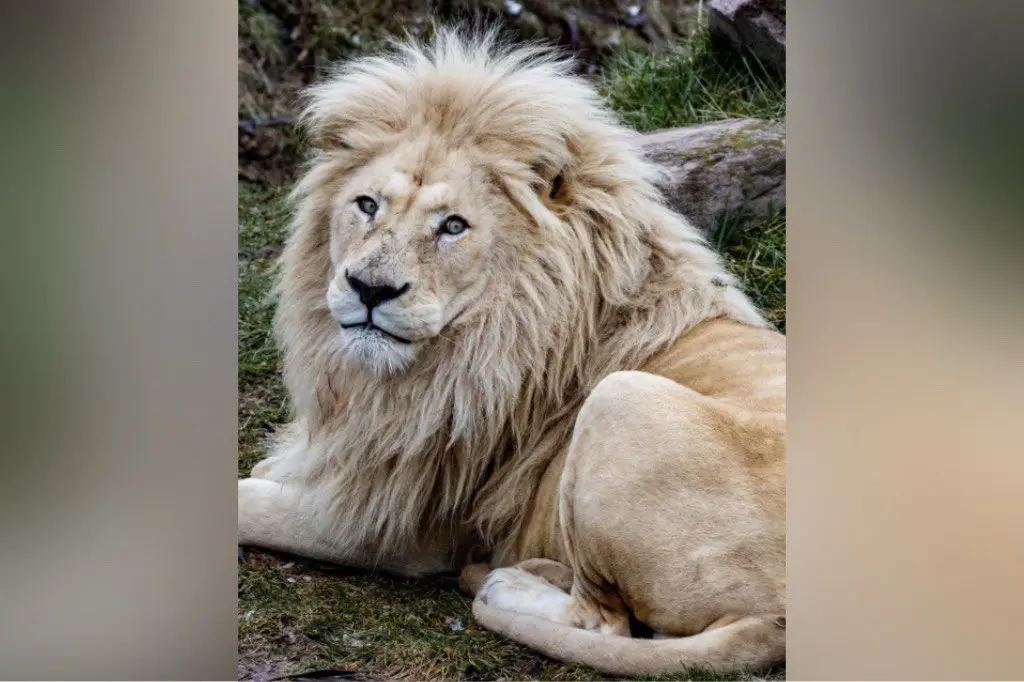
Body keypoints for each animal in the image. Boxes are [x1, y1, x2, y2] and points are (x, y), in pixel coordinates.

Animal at [238, 28, 786, 677]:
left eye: (453, 226)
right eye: (367, 205)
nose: (370, 289)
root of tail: (775, 621)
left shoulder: (393, 523)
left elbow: (248, 503)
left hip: (621, 397)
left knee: (603, 620)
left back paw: (506, 584)